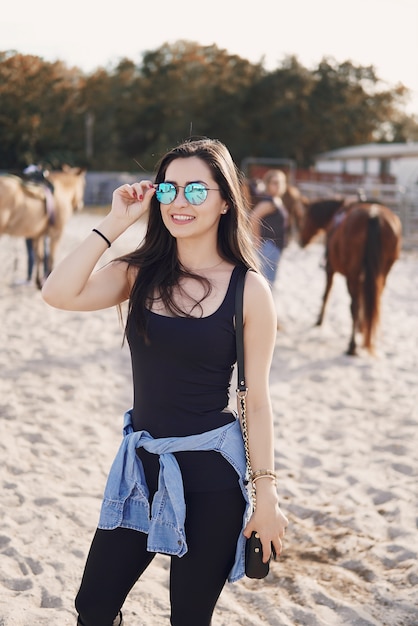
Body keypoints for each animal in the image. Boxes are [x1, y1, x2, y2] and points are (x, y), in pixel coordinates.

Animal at [298, 197, 400, 354]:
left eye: (303, 217)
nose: (300, 241)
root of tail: (373, 215)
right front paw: (361, 328)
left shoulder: (330, 268)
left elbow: (326, 293)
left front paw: (319, 320)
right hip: (382, 273)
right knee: (374, 300)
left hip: (352, 275)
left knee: (354, 306)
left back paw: (352, 345)